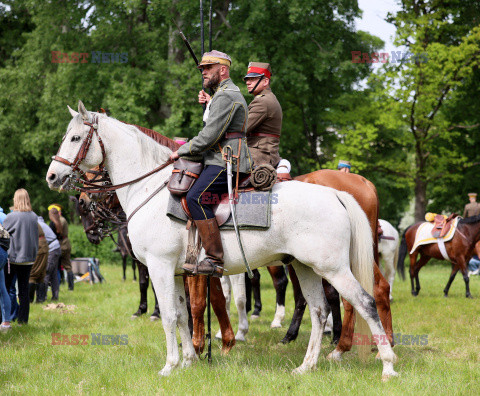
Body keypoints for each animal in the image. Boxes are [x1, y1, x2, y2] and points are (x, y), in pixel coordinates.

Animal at [46, 101, 398, 378]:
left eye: (75, 137)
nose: (52, 176)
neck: (151, 189)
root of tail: (337, 193)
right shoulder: (178, 273)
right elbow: (184, 314)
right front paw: (189, 360)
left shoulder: (160, 267)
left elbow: (171, 316)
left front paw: (170, 364)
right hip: (306, 268)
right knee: (319, 310)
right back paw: (307, 365)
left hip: (334, 269)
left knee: (365, 301)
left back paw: (386, 363)